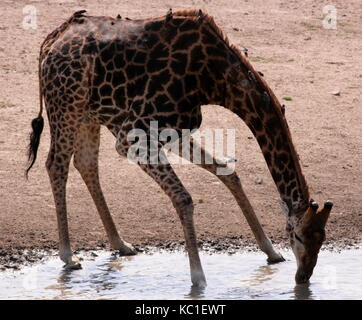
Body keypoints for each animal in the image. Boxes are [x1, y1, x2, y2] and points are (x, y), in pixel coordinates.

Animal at [26, 10, 334, 286]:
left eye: (323, 239)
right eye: (297, 235)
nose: (303, 276)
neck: (216, 80)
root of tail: (51, 40)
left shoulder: (175, 130)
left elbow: (227, 171)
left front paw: (271, 252)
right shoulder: (132, 137)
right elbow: (184, 198)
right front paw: (198, 280)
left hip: (90, 114)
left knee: (86, 163)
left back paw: (120, 243)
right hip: (66, 105)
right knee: (56, 164)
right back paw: (69, 256)